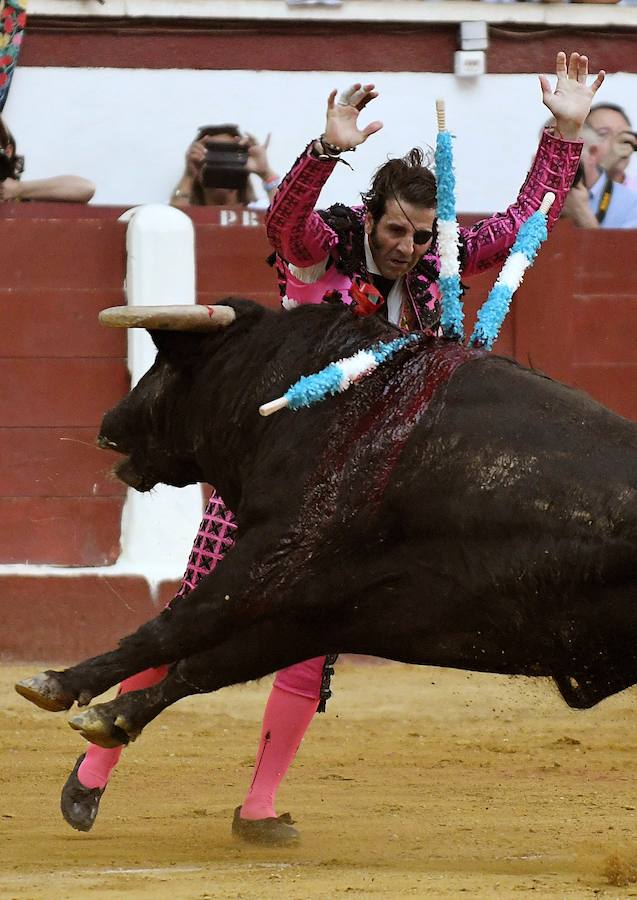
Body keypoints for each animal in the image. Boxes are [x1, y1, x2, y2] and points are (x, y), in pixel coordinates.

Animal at [14, 298, 636, 748]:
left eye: (168, 363)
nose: (109, 422)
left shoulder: (276, 554)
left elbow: (179, 624)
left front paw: (57, 683)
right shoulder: (333, 607)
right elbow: (214, 662)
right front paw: (113, 716)